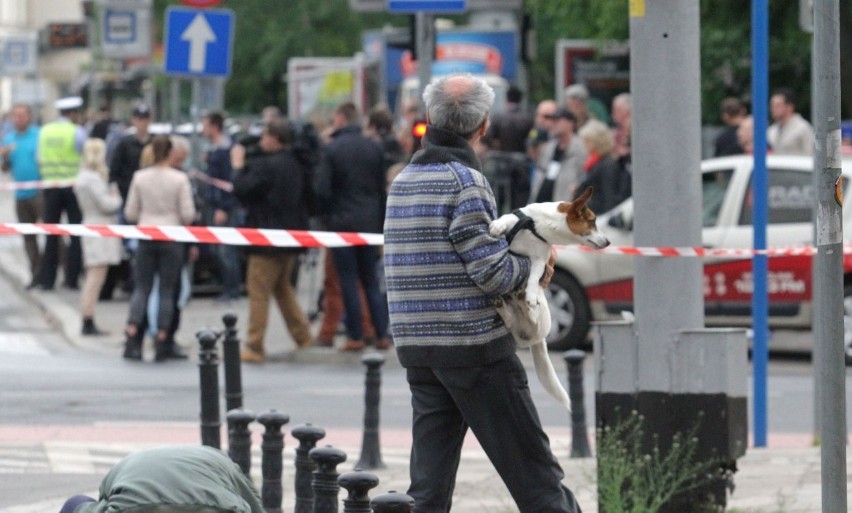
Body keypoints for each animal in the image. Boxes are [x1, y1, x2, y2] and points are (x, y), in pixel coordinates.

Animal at [490, 187, 608, 408]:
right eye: (593, 221)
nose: (608, 242)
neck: (541, 229)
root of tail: (539, 340)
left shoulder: (539, 261)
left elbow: (534, 276)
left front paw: (531, 292)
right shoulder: (515, 221)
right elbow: (505, 218)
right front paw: (496, 225)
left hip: (535, 318)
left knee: (519, 318)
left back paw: (522, 301)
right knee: (510, 319)